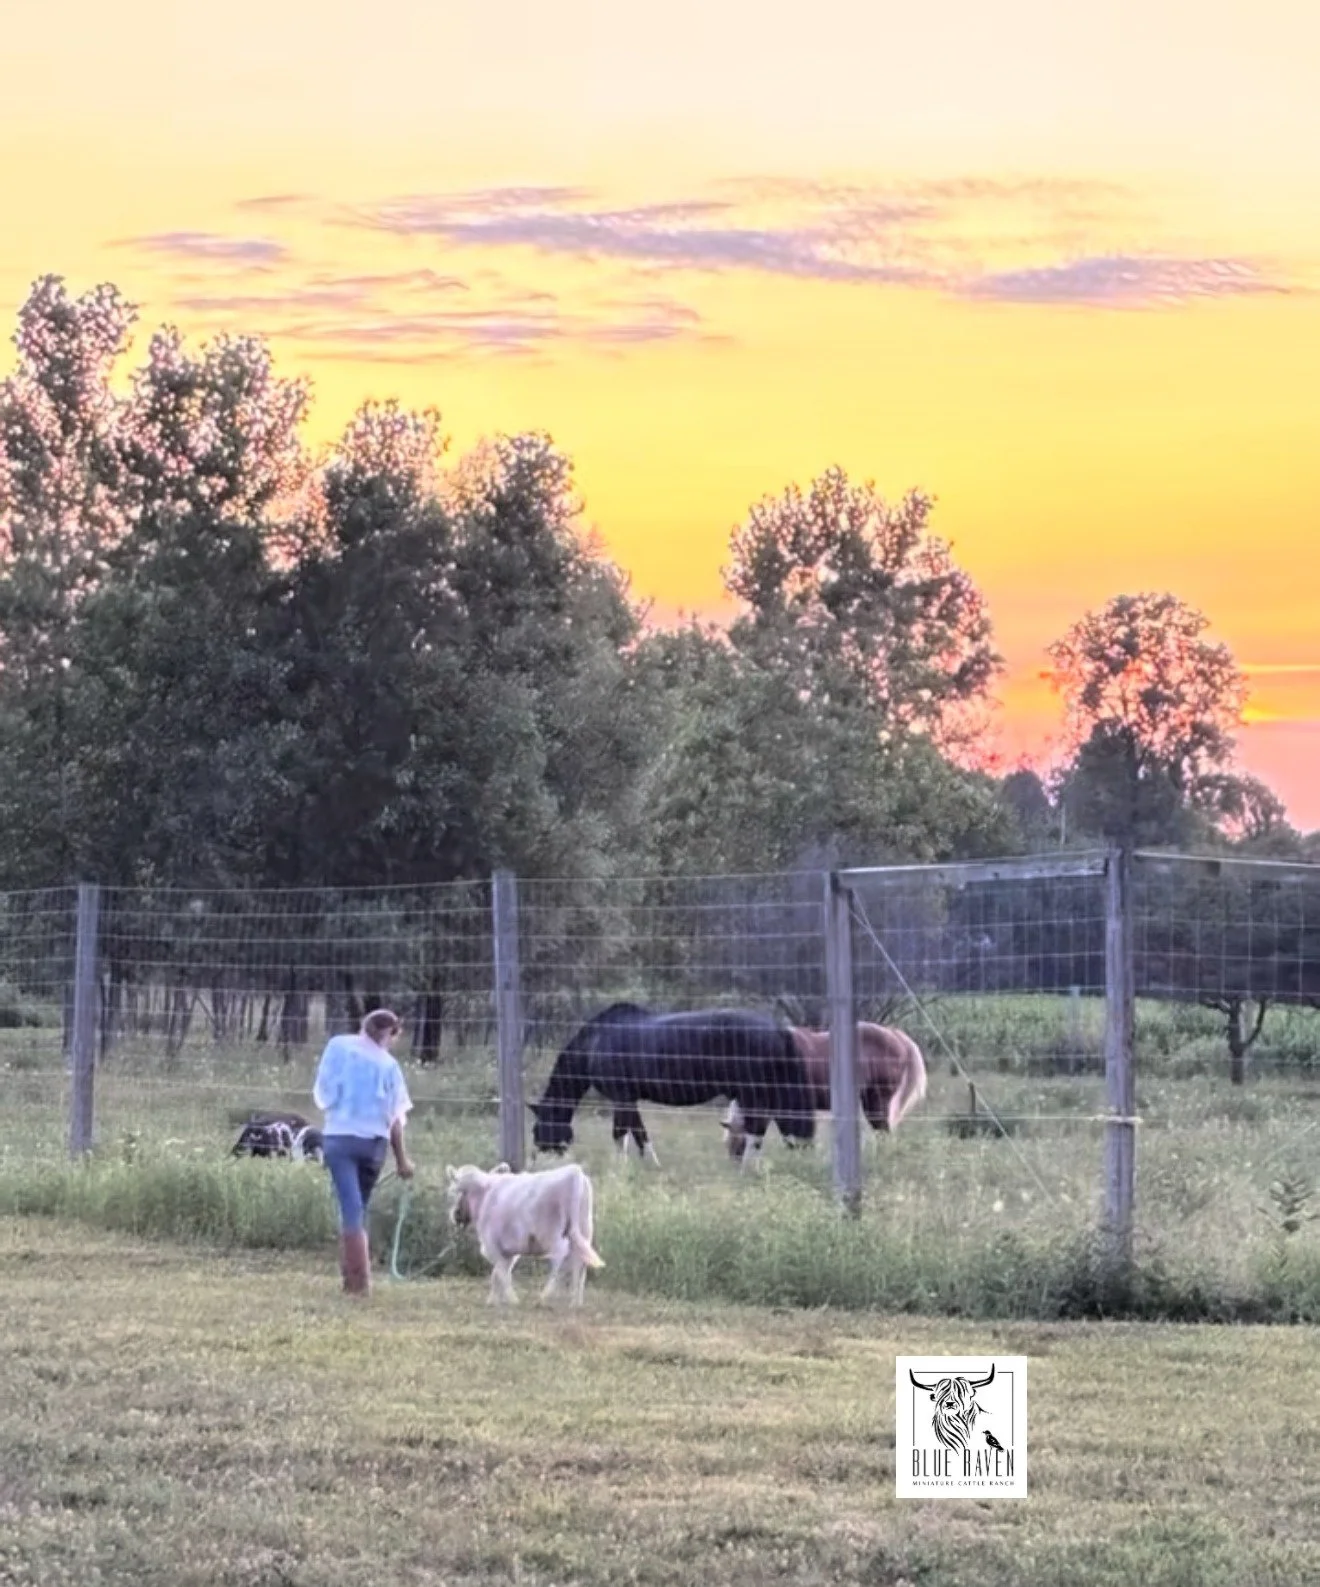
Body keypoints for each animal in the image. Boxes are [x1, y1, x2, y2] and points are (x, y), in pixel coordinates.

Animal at [445, 1160, 604, 1306]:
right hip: (584, 1229)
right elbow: (498, 1274)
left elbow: (501, 1273)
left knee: (561, 1259)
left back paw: (545, 1296)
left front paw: (512, 1300)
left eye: (455, 1190)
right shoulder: (508, 1252)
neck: (485, 1196)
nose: (455, 1215)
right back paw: (576, 1301)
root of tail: (574, 1172)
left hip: (551, 1234)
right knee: (579, 1261)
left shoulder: (492, 1245)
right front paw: (493, 1300)